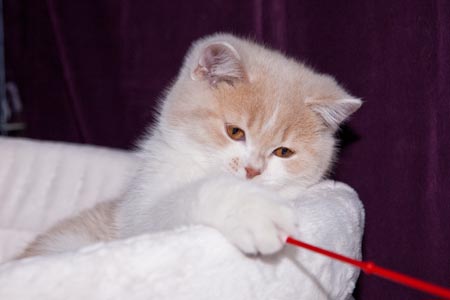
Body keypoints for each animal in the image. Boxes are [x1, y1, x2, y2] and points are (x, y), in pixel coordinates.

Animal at [18, 32, 362, 258]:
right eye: (235, 132)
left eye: (283, 152)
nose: (252, 170)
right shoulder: (137, 222)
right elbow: (180, 202)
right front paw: (252, 210)